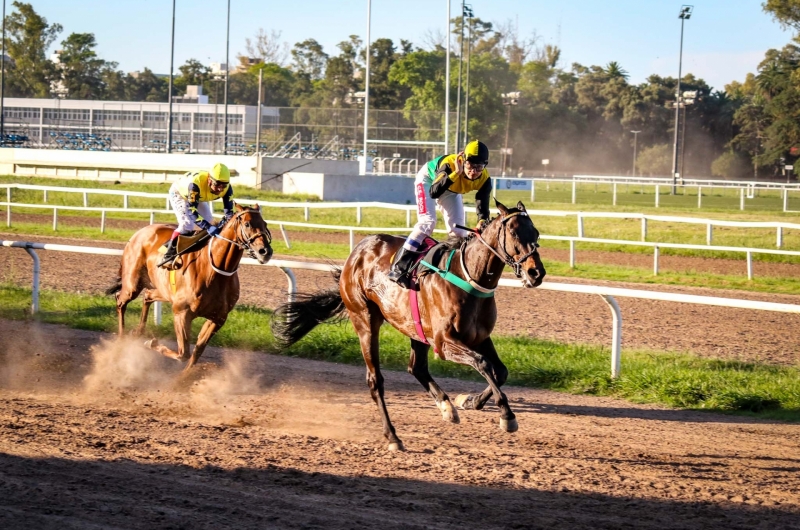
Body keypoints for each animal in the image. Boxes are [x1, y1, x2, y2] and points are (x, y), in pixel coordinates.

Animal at [108, 204, 274, 370]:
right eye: (247, 224)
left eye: (265, 224)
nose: (265, 251)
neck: (215, 271)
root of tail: (140, 232)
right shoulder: (182, 312)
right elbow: (183, 353)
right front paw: (151, 343)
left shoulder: (218, 318)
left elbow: (196, 353)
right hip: (133, 283)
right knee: (120, 300)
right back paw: (121, 340)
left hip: (164, 291)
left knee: (148, 295)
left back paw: (138, 331)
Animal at [274, 200, 544, 448]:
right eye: (514, 233)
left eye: (537, 233)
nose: (536, 273)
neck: (468, 276)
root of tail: (356, 254)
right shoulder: (444, 343)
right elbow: (482, 363)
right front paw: (507, 415)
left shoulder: (479, 337)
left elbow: (500, 371)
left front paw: (470, 401)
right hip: (364, 320)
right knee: (376, 380)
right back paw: (393, 436)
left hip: (416, 329)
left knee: (417, 367)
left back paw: (446, 407)